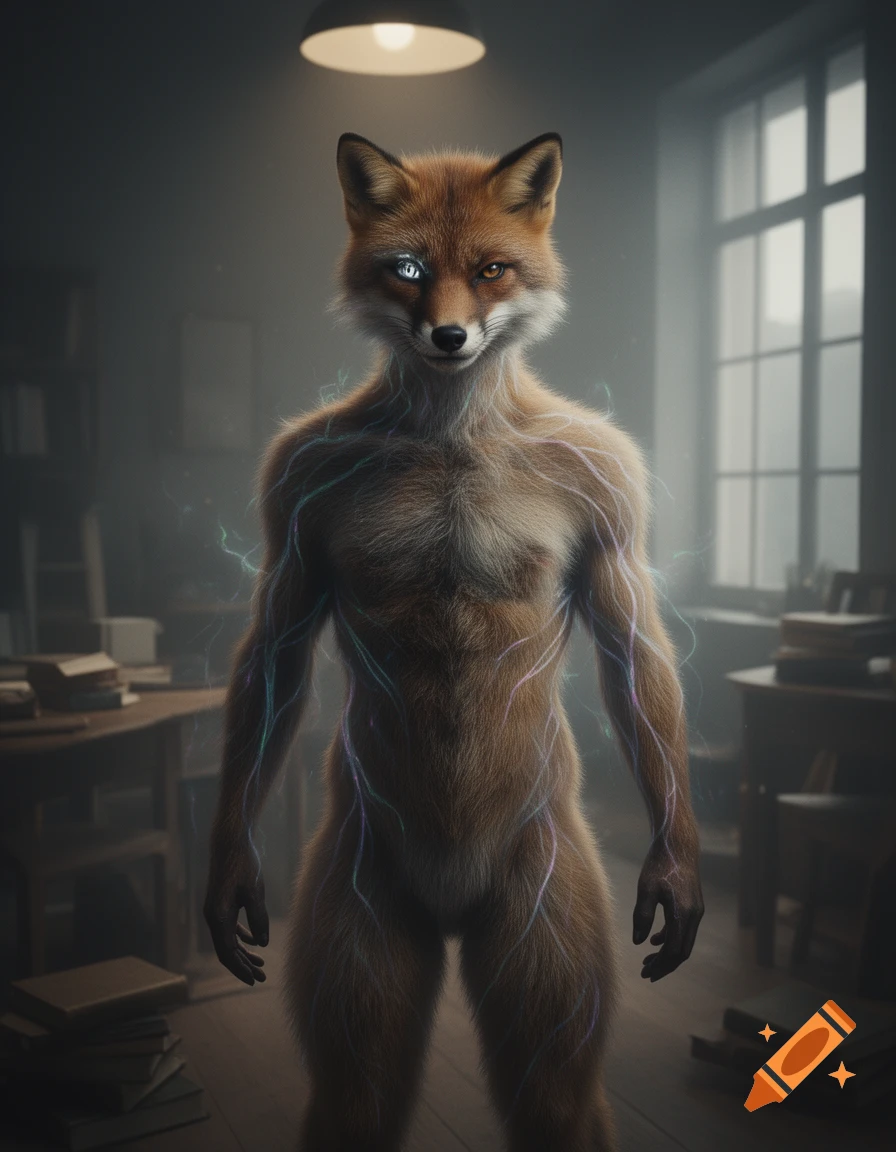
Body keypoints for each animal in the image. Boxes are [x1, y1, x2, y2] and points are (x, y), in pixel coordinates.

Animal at [203, 131, 704, 1152]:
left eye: (490, 270)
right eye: (407, 270)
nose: (448, 338)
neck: (450, 438)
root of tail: (448, 901)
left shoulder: (615, 501)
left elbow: (637, 655)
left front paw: (677, 874)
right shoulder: (291, 496)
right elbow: (274, 655)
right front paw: (228, 875)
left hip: (544, 954)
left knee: (554, 1089)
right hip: (361, 948)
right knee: (357, 1089)